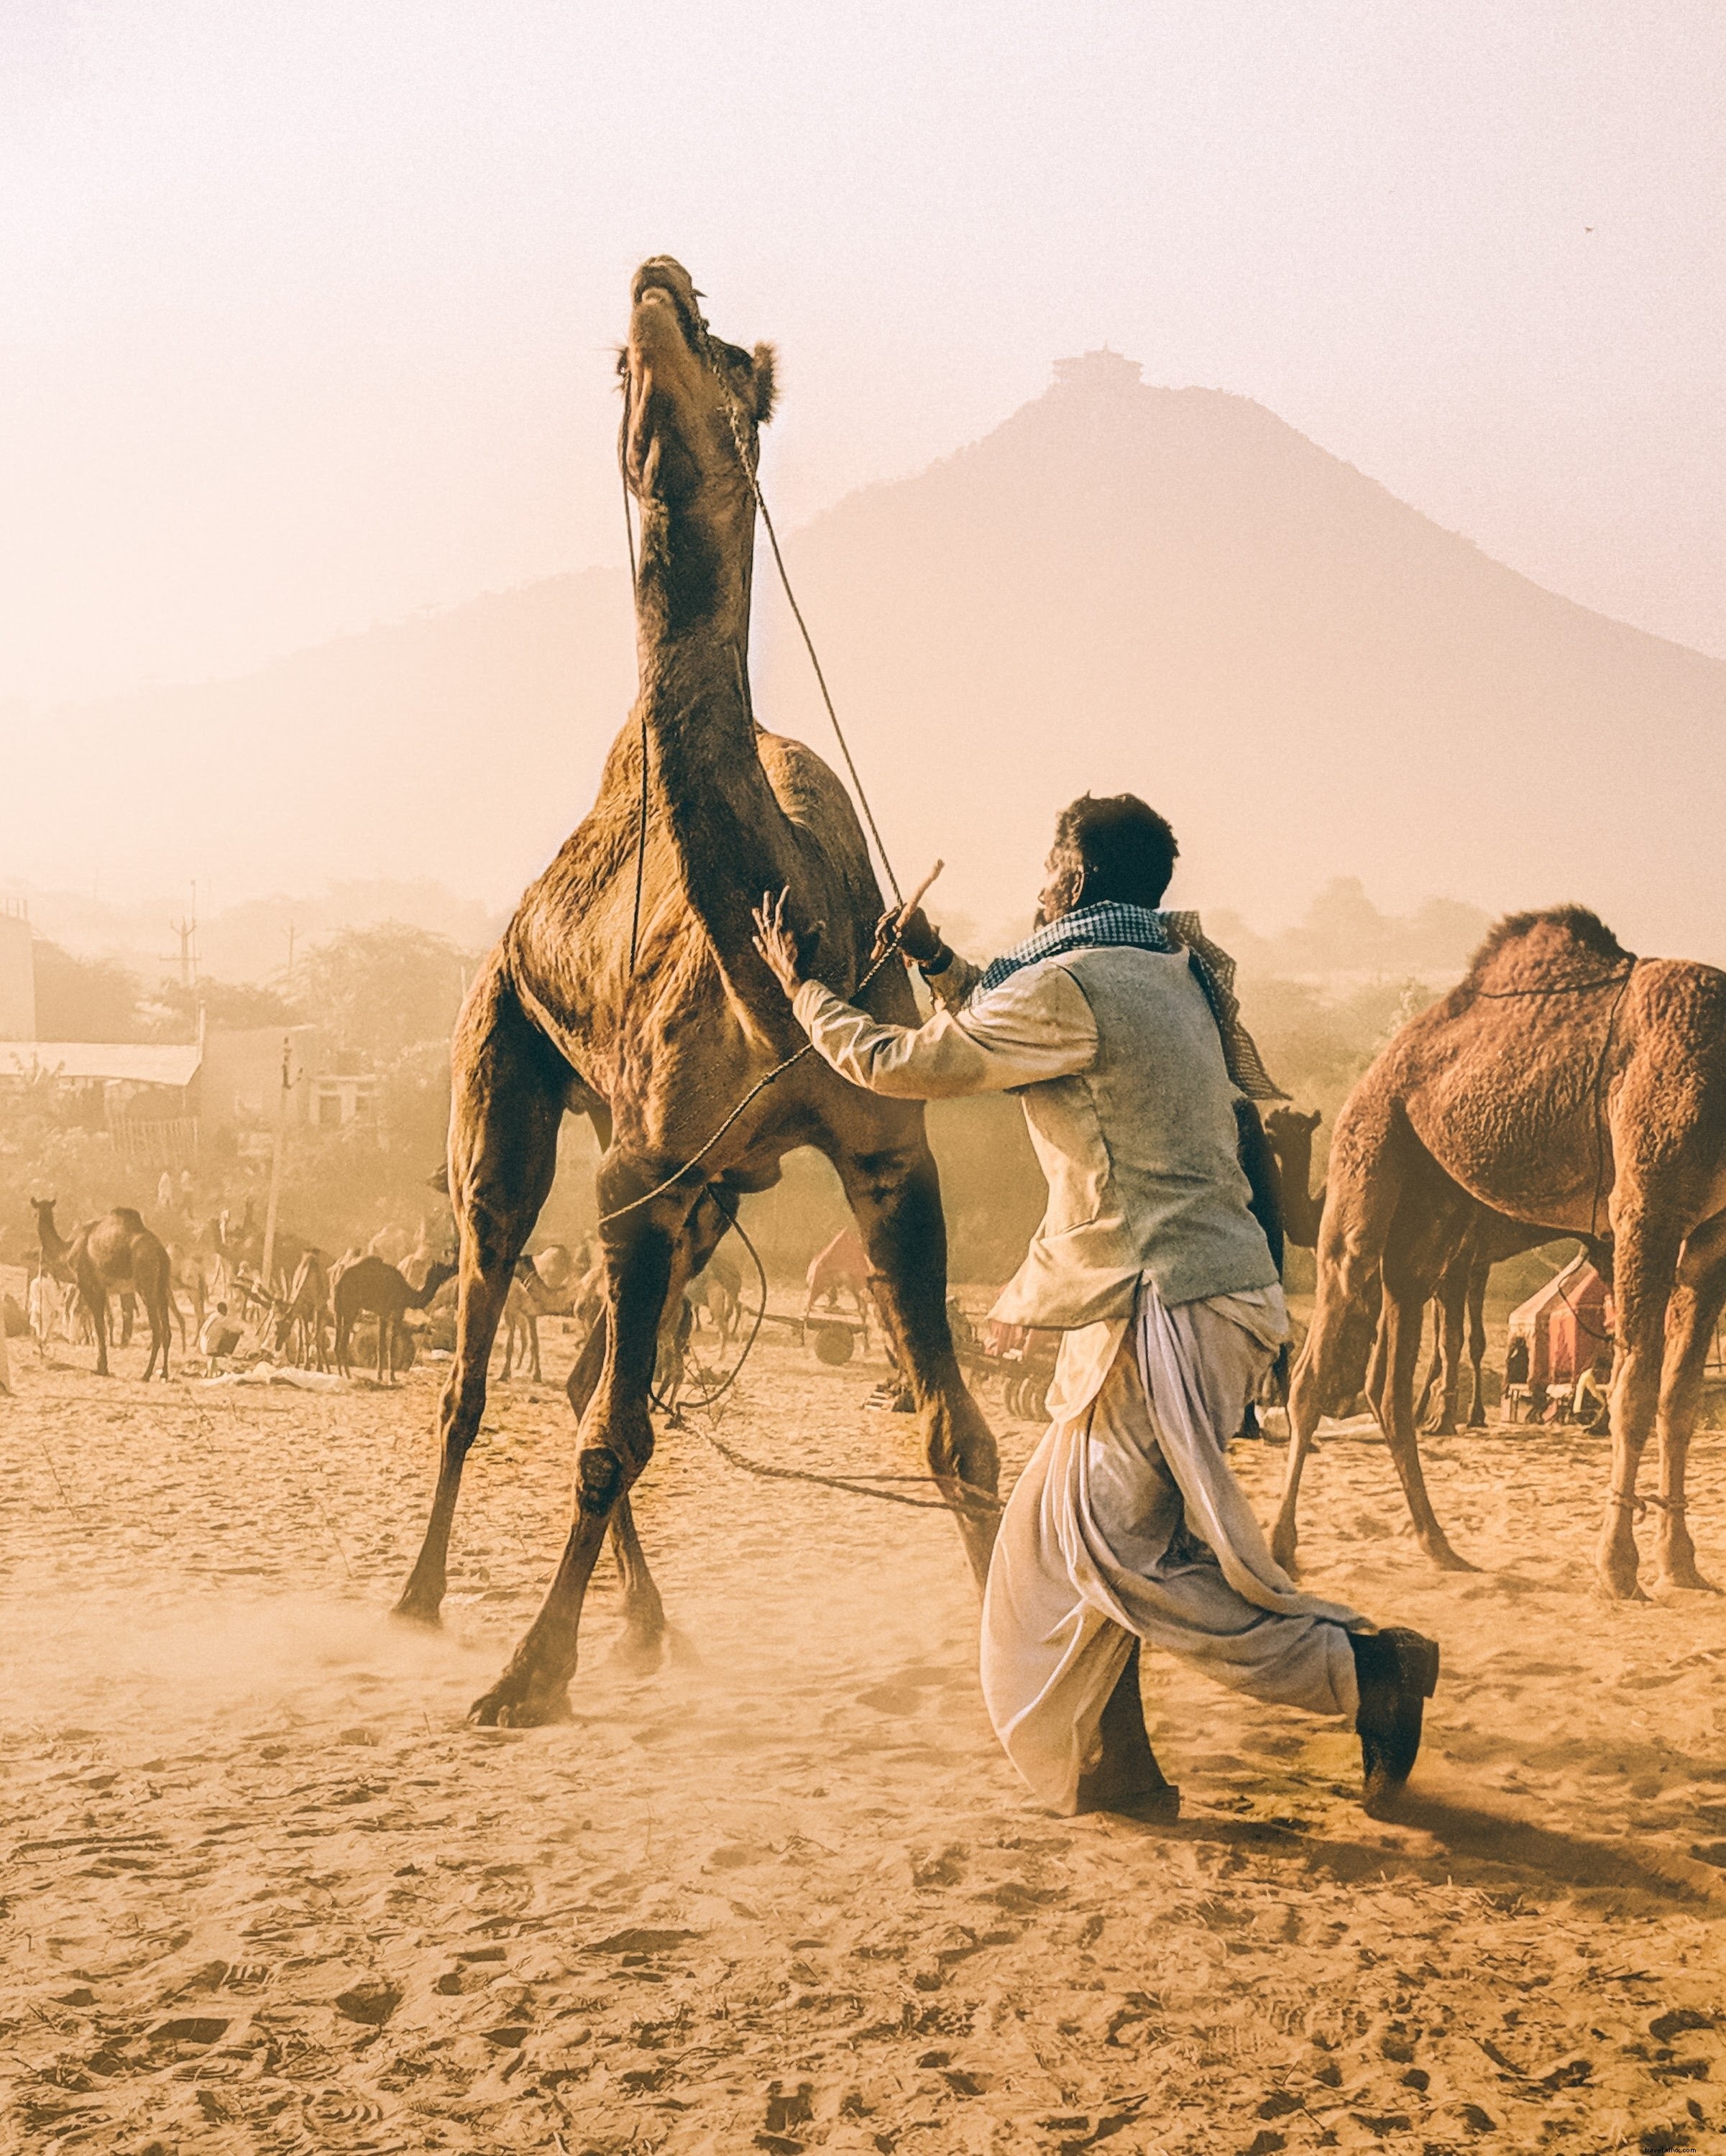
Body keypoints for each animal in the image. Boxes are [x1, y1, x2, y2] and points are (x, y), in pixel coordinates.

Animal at [29, 1198, 174, 1379]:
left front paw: (101, 1368)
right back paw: (164, 1374)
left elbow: (99, 1325)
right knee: (167, 1330)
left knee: (157, 1330)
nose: (37, 1217)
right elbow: (104, 1323)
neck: (68, 1250)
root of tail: (161, 1252)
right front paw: (102, 1365)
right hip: (162, 1286)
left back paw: (146, 1374)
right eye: (38, 1211)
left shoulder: (88, 1285)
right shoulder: (103, 1289)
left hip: (146, 1284)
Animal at [333, 1255, 456, 1382]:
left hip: (338, 1310)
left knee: (337, 1343)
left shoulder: (383, 1314)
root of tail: (340, 1282)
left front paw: (380, 1376)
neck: (409, 1295)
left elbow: (382, 1345)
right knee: (343, 1344)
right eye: (445, 1268)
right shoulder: (397, 1313)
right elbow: (391, 1346)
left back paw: (340, 1374)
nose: (454, 1269)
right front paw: (392, 1378)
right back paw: (348, 1375)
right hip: (351, 1309)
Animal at [391, 257, 998, 1726]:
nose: (659, 280)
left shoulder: (882, 1154)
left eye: (729, 358)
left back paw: (649, 1625)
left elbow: (957, 1431)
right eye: (627, 364)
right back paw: (422, 1602)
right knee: (485, 1360)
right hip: (506, 1079)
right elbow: (615, 1435)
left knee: (582, 1376)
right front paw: (525, 1676)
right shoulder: (646, 1168)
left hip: (711, 1191)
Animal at [1274, 907, 1726, 1599]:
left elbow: (1678, 1400)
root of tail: (1380, 1065)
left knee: (1391, 1373)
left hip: (1431, 1213)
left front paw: (1681, 1564)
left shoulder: (1710, 1235)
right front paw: (1617, 1568)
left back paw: (1439, 1546)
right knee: (1325, 1333)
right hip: (1368, 1143)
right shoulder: (1646, 1207)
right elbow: (1634, 1390)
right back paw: (1279, 1548)